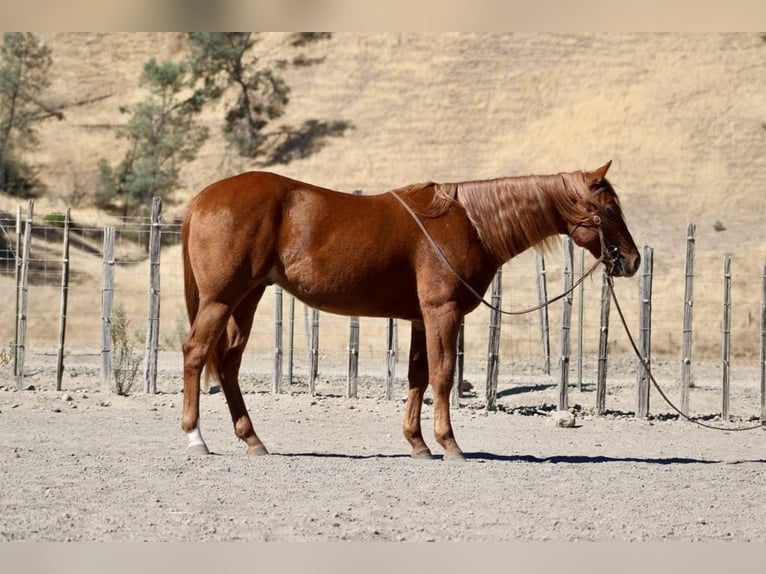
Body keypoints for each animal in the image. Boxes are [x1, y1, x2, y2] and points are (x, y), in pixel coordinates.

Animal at [181, 161, 640, 461]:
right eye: (608, 208)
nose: (632, 261)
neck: (470, 223)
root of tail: (202, 198)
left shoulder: (422, 317)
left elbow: (418, 376)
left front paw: (418, 444)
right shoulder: (443, 312)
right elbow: (442, 376)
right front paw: (450, 445)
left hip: (247, 299)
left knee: (228, 364)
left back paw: (252, 440)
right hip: (221, 300)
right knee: (197, 354)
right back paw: (196, 438)